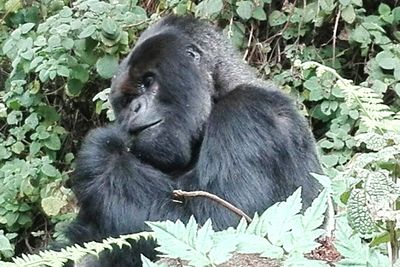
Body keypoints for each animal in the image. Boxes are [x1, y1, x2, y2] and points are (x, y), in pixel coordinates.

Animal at [65, 15, 322, 266]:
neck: (221, 90)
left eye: (148, 82)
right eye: (127, 100)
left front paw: (102, 155)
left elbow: (222, 225)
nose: (134, 109)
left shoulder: (247, 112)